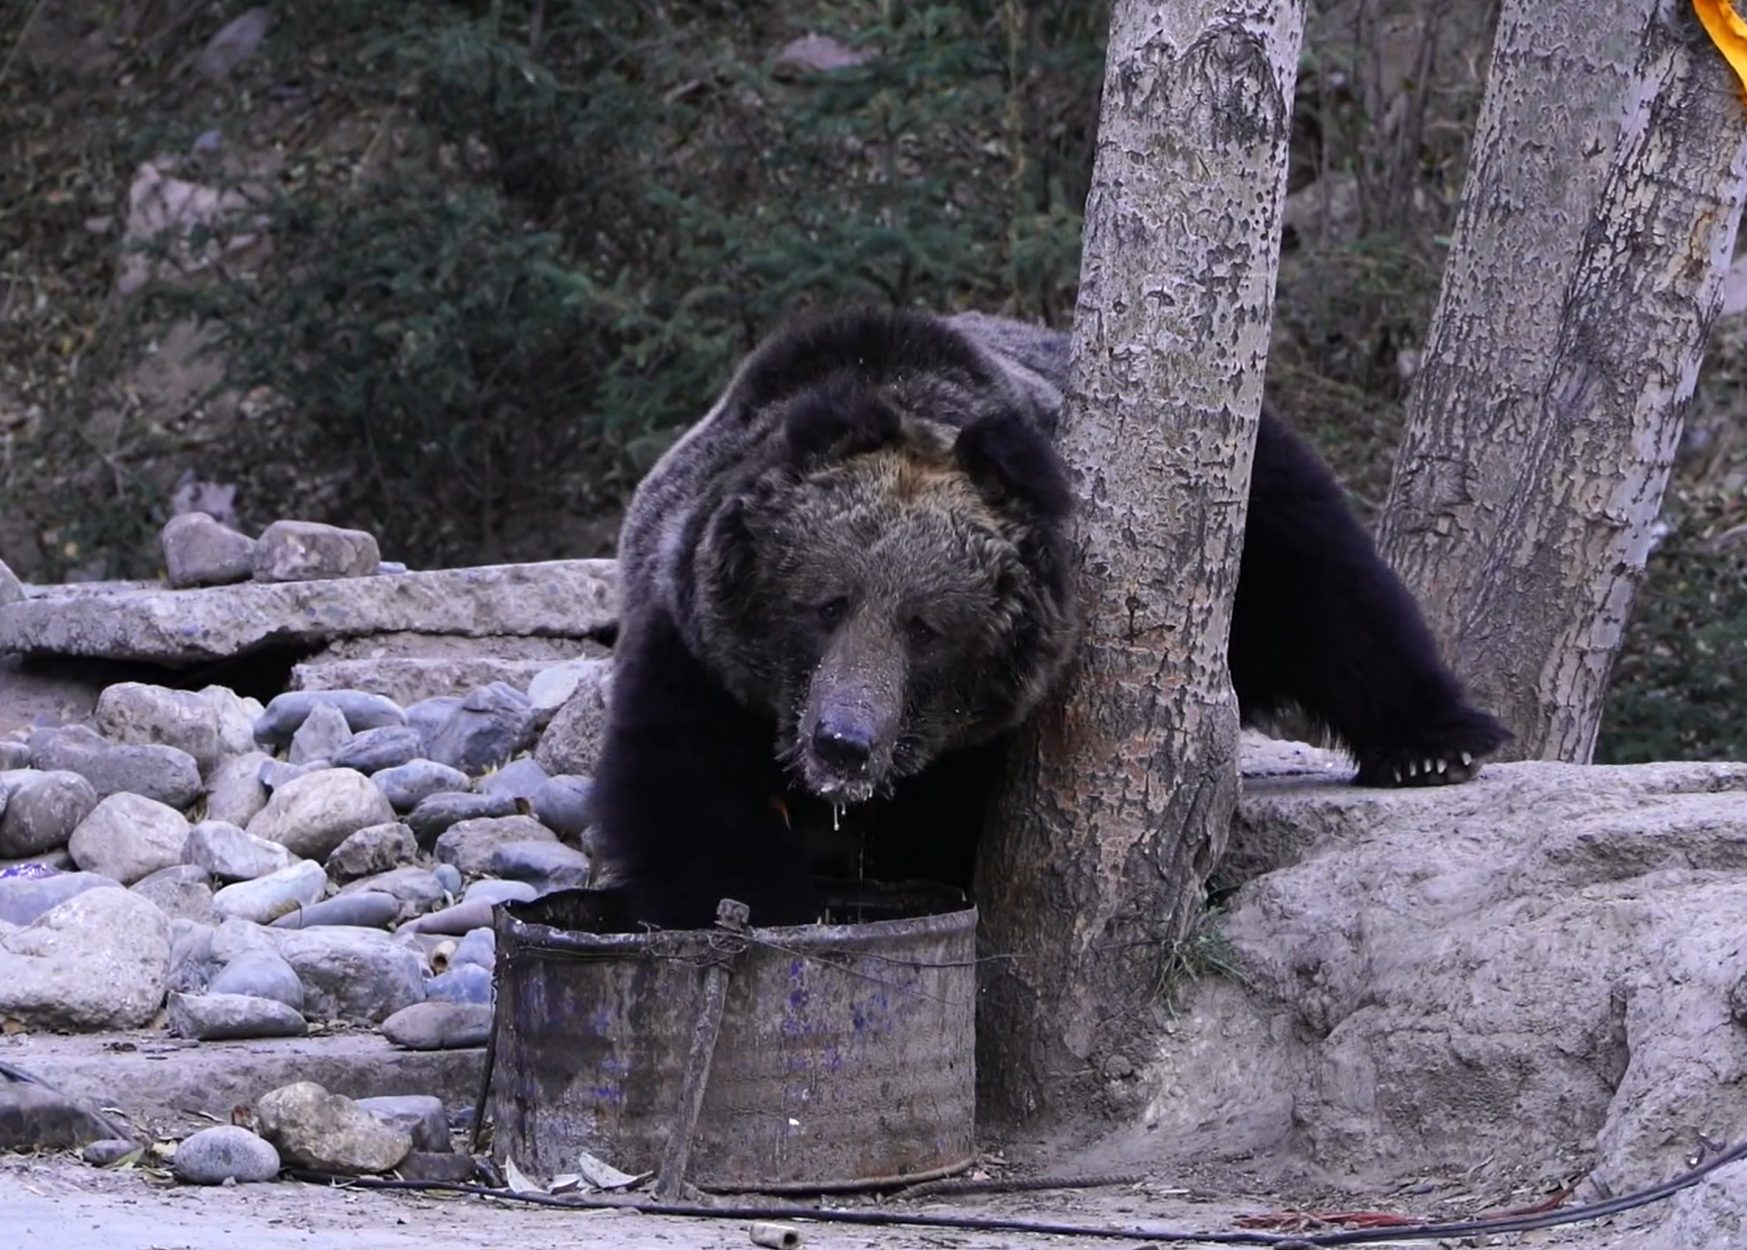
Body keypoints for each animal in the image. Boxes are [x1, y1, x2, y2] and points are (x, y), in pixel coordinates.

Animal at [593, 302, 1509, 928]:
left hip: (1244, 504)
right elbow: (695, 811)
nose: (843, 742)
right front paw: (766, 903)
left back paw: (1432, 743)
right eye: (823, 604)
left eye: (926, 627)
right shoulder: (697, 648)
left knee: (1328, 584)